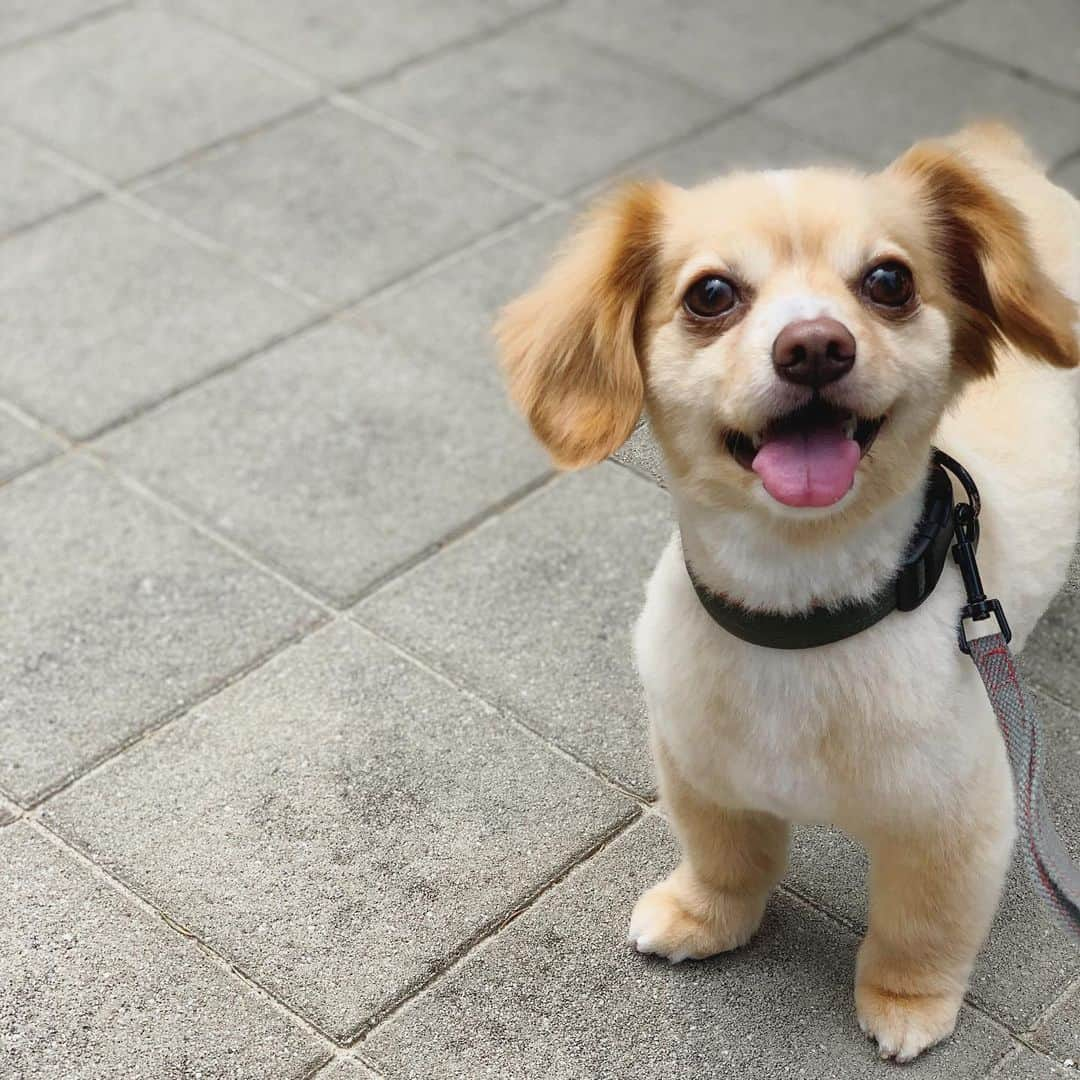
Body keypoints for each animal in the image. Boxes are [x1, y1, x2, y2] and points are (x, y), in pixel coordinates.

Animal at [494, 126, 1080, 1062]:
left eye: (889, 281)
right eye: (711, 294)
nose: (813, 345)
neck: (799, 619)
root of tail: (995, 156)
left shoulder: (955, 821)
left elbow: (920, 927)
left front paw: (907, 1003)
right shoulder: (701, 770)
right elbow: (727, 860)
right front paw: (704, 919)